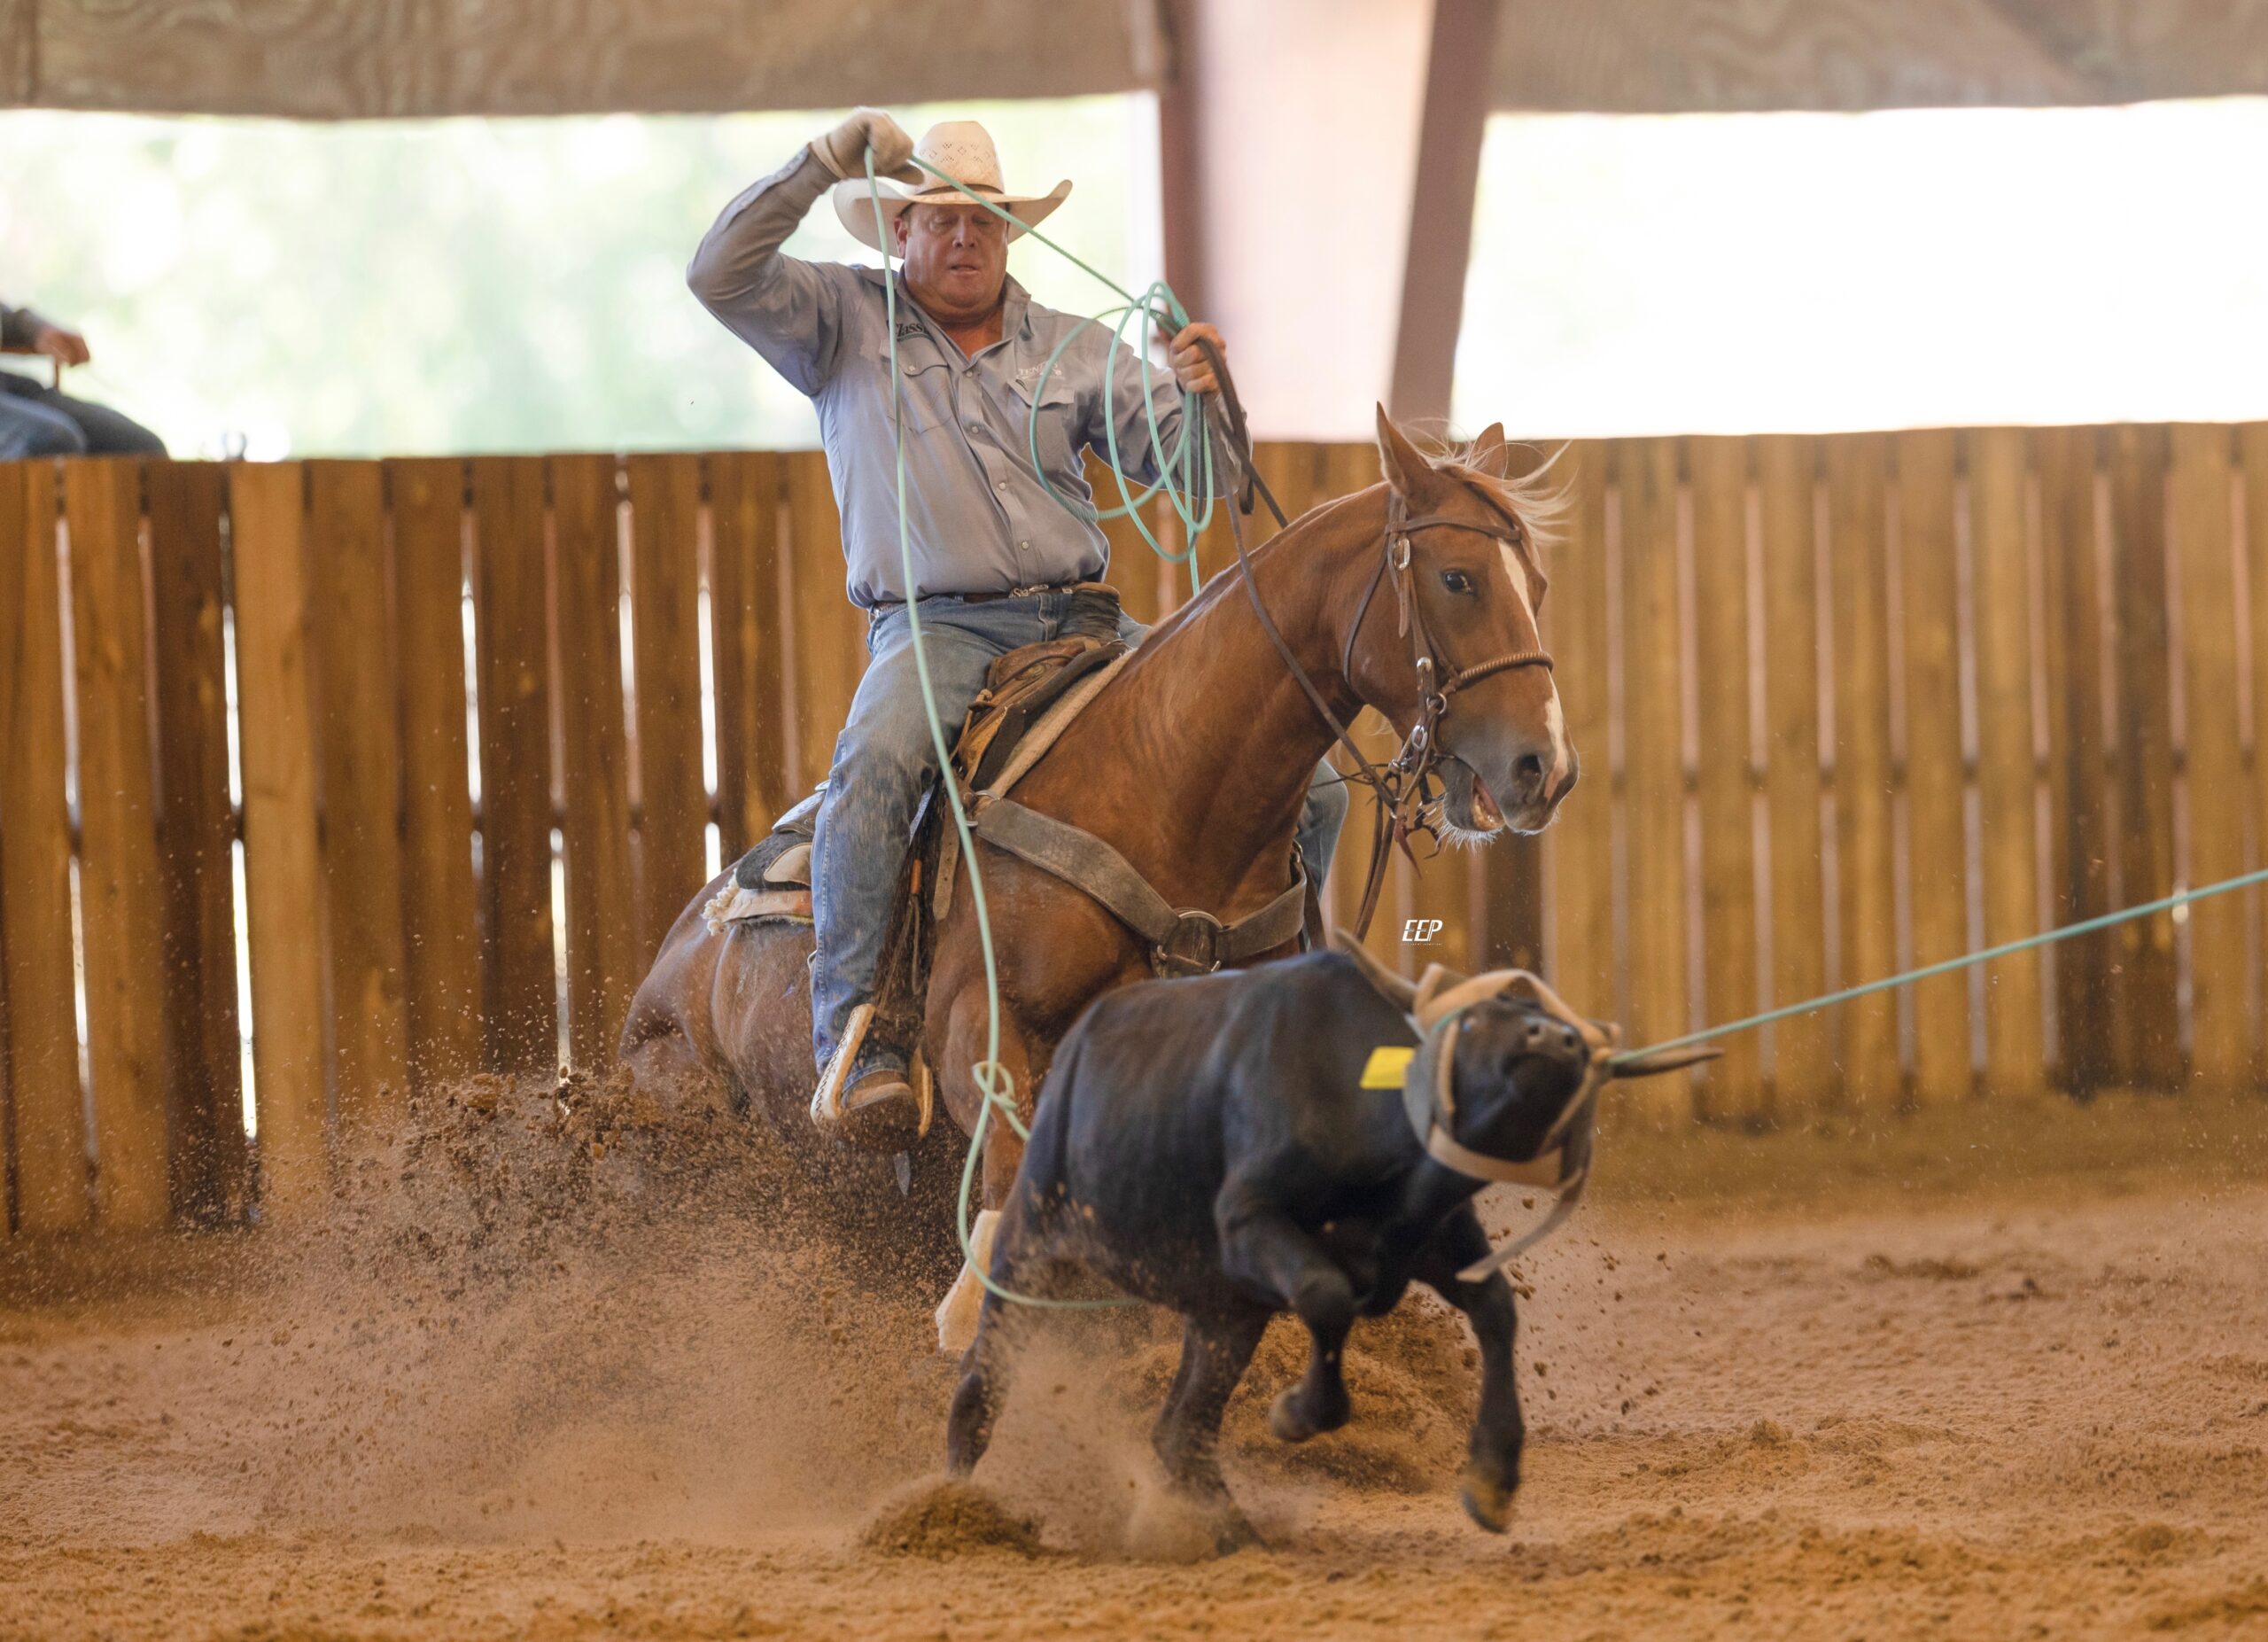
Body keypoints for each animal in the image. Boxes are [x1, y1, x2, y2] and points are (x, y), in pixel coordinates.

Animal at [621, 408, 1578, 1324]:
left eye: (1537, 587)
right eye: (1457, 579)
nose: (1546, 768)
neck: (1167, 793)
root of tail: (684, 942)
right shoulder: (981, 1028)